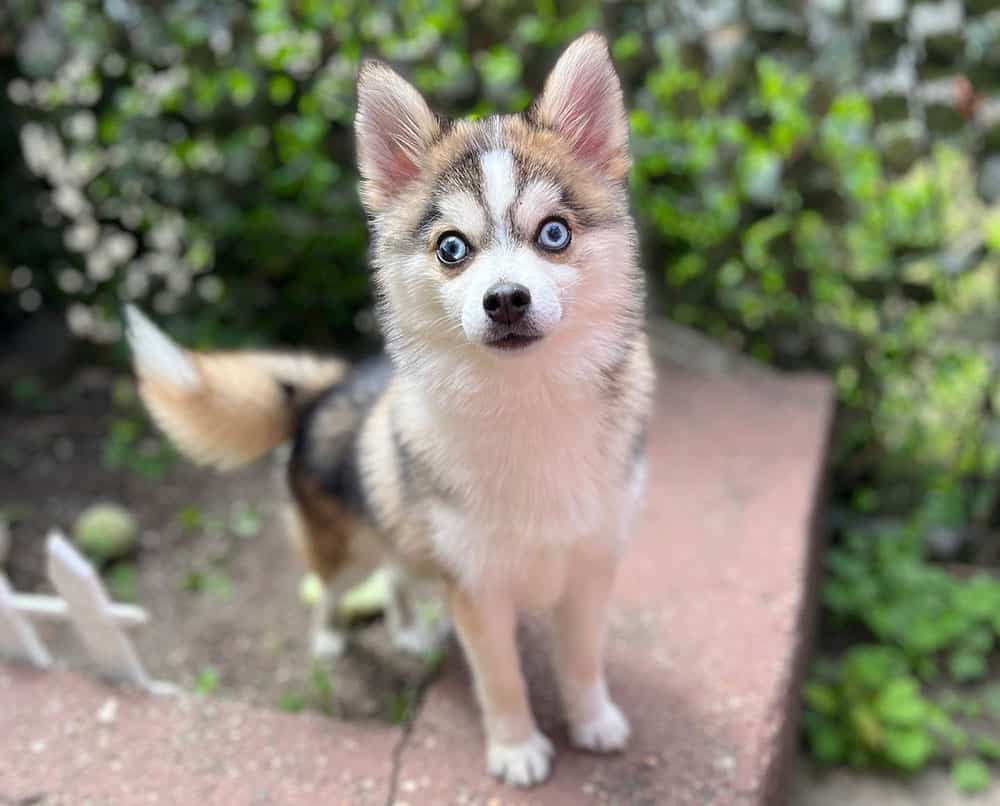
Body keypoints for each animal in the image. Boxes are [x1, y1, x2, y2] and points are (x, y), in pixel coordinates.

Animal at [125, 31, 652, 788]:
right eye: (452, 248)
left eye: (554, 234)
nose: (506, 299)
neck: (528, 403)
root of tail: (323, 390)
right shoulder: (476, 587)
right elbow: (501, 679)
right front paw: (516, 747)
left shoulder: (591, 565)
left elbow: (581, 659)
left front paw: (592, 719)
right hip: (340, 545)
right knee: (333, 588)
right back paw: (331, 642)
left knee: (399, 575)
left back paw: (408, 630)